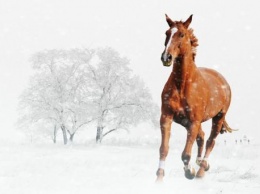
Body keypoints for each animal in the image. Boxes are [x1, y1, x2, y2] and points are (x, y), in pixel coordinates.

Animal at [156, 14, 234, 181]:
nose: (166, 57)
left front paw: (189, 172)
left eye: (182, 34)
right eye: (167, 33)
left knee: (211, 140)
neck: (182, 85)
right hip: (186, 121)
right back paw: (199, 163)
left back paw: (201, 170)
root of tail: (223, 80)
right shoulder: (167, 117)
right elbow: (164, 148)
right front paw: (158, 178)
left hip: (218, 117)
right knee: (202, 137)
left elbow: (185, 154)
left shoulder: (194, 121)